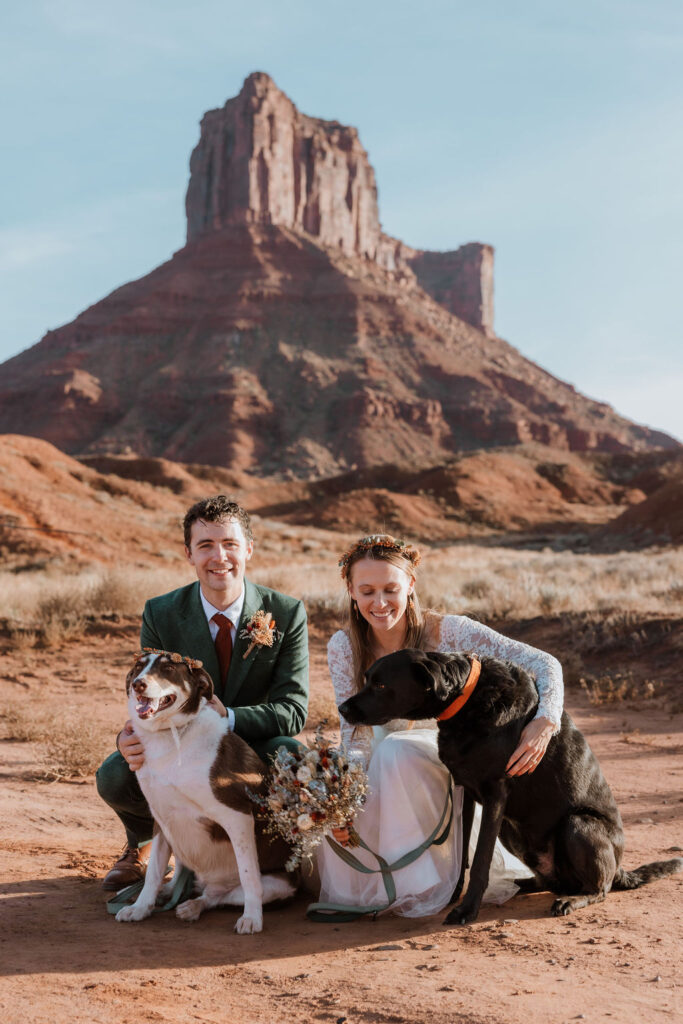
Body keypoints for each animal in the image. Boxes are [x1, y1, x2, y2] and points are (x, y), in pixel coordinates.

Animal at [116, 651, 292, 933]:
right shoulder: (161, 819)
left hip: (280, 885)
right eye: (138, 667)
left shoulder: (237, 816)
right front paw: (141, 908)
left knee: (219, 896)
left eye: (168, 668)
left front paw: (252, 918)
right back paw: (172, 893)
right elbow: (153, 872)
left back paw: (193, 906)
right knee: (192, 883)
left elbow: (249, 877)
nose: (138, 684)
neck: (171, 736)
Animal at [339, 651, 679, 925]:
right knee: (550, 881)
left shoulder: (495, 795)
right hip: (511, 829)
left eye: (381, 685)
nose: (342, 708)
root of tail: (620, 868)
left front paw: (466, 910)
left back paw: (571, 899)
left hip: (578, 824)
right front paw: (453, 895)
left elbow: (480, 860)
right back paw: (518, 884)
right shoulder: (464, 791)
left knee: (600, 888)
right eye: (367, 679)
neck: (467, 699)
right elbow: (462, 854)